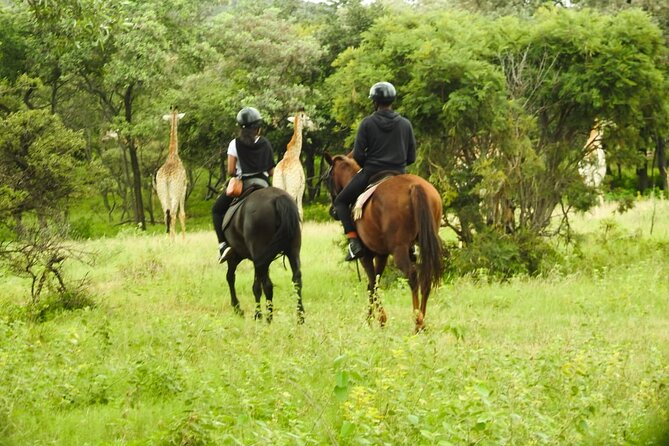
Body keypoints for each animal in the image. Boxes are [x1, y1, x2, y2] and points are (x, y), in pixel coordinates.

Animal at [155, 108, 188, 240]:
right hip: (175, 193)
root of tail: (167, 178)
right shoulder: (184, 189)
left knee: (166, 215)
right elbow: (182, 214)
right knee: (173, 214)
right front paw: (184, 240)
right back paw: (174, 241)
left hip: (161, 193)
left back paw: (169, 240)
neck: (173, 154)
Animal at [222, 186, 302, 322]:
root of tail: (278, 199)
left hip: (259, 256)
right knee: (296, 280)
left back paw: (263, 316)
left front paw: (239, 308)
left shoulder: (237, 256)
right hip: (292, 251)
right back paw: (300, 317)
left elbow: (231, 277)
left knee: (261, 286)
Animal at [324, 153, 444, 332]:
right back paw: (423, 322)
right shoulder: (382, 255)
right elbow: (375, 283)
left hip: (399, 250)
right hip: (425, 243)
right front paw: (372, 319)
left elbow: (372, 283)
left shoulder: (366, 256)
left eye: (327, 179)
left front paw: (376, 319)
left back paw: (417, 322)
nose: (332, 211)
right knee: (426, 277)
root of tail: (415, 186)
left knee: (412, 276)